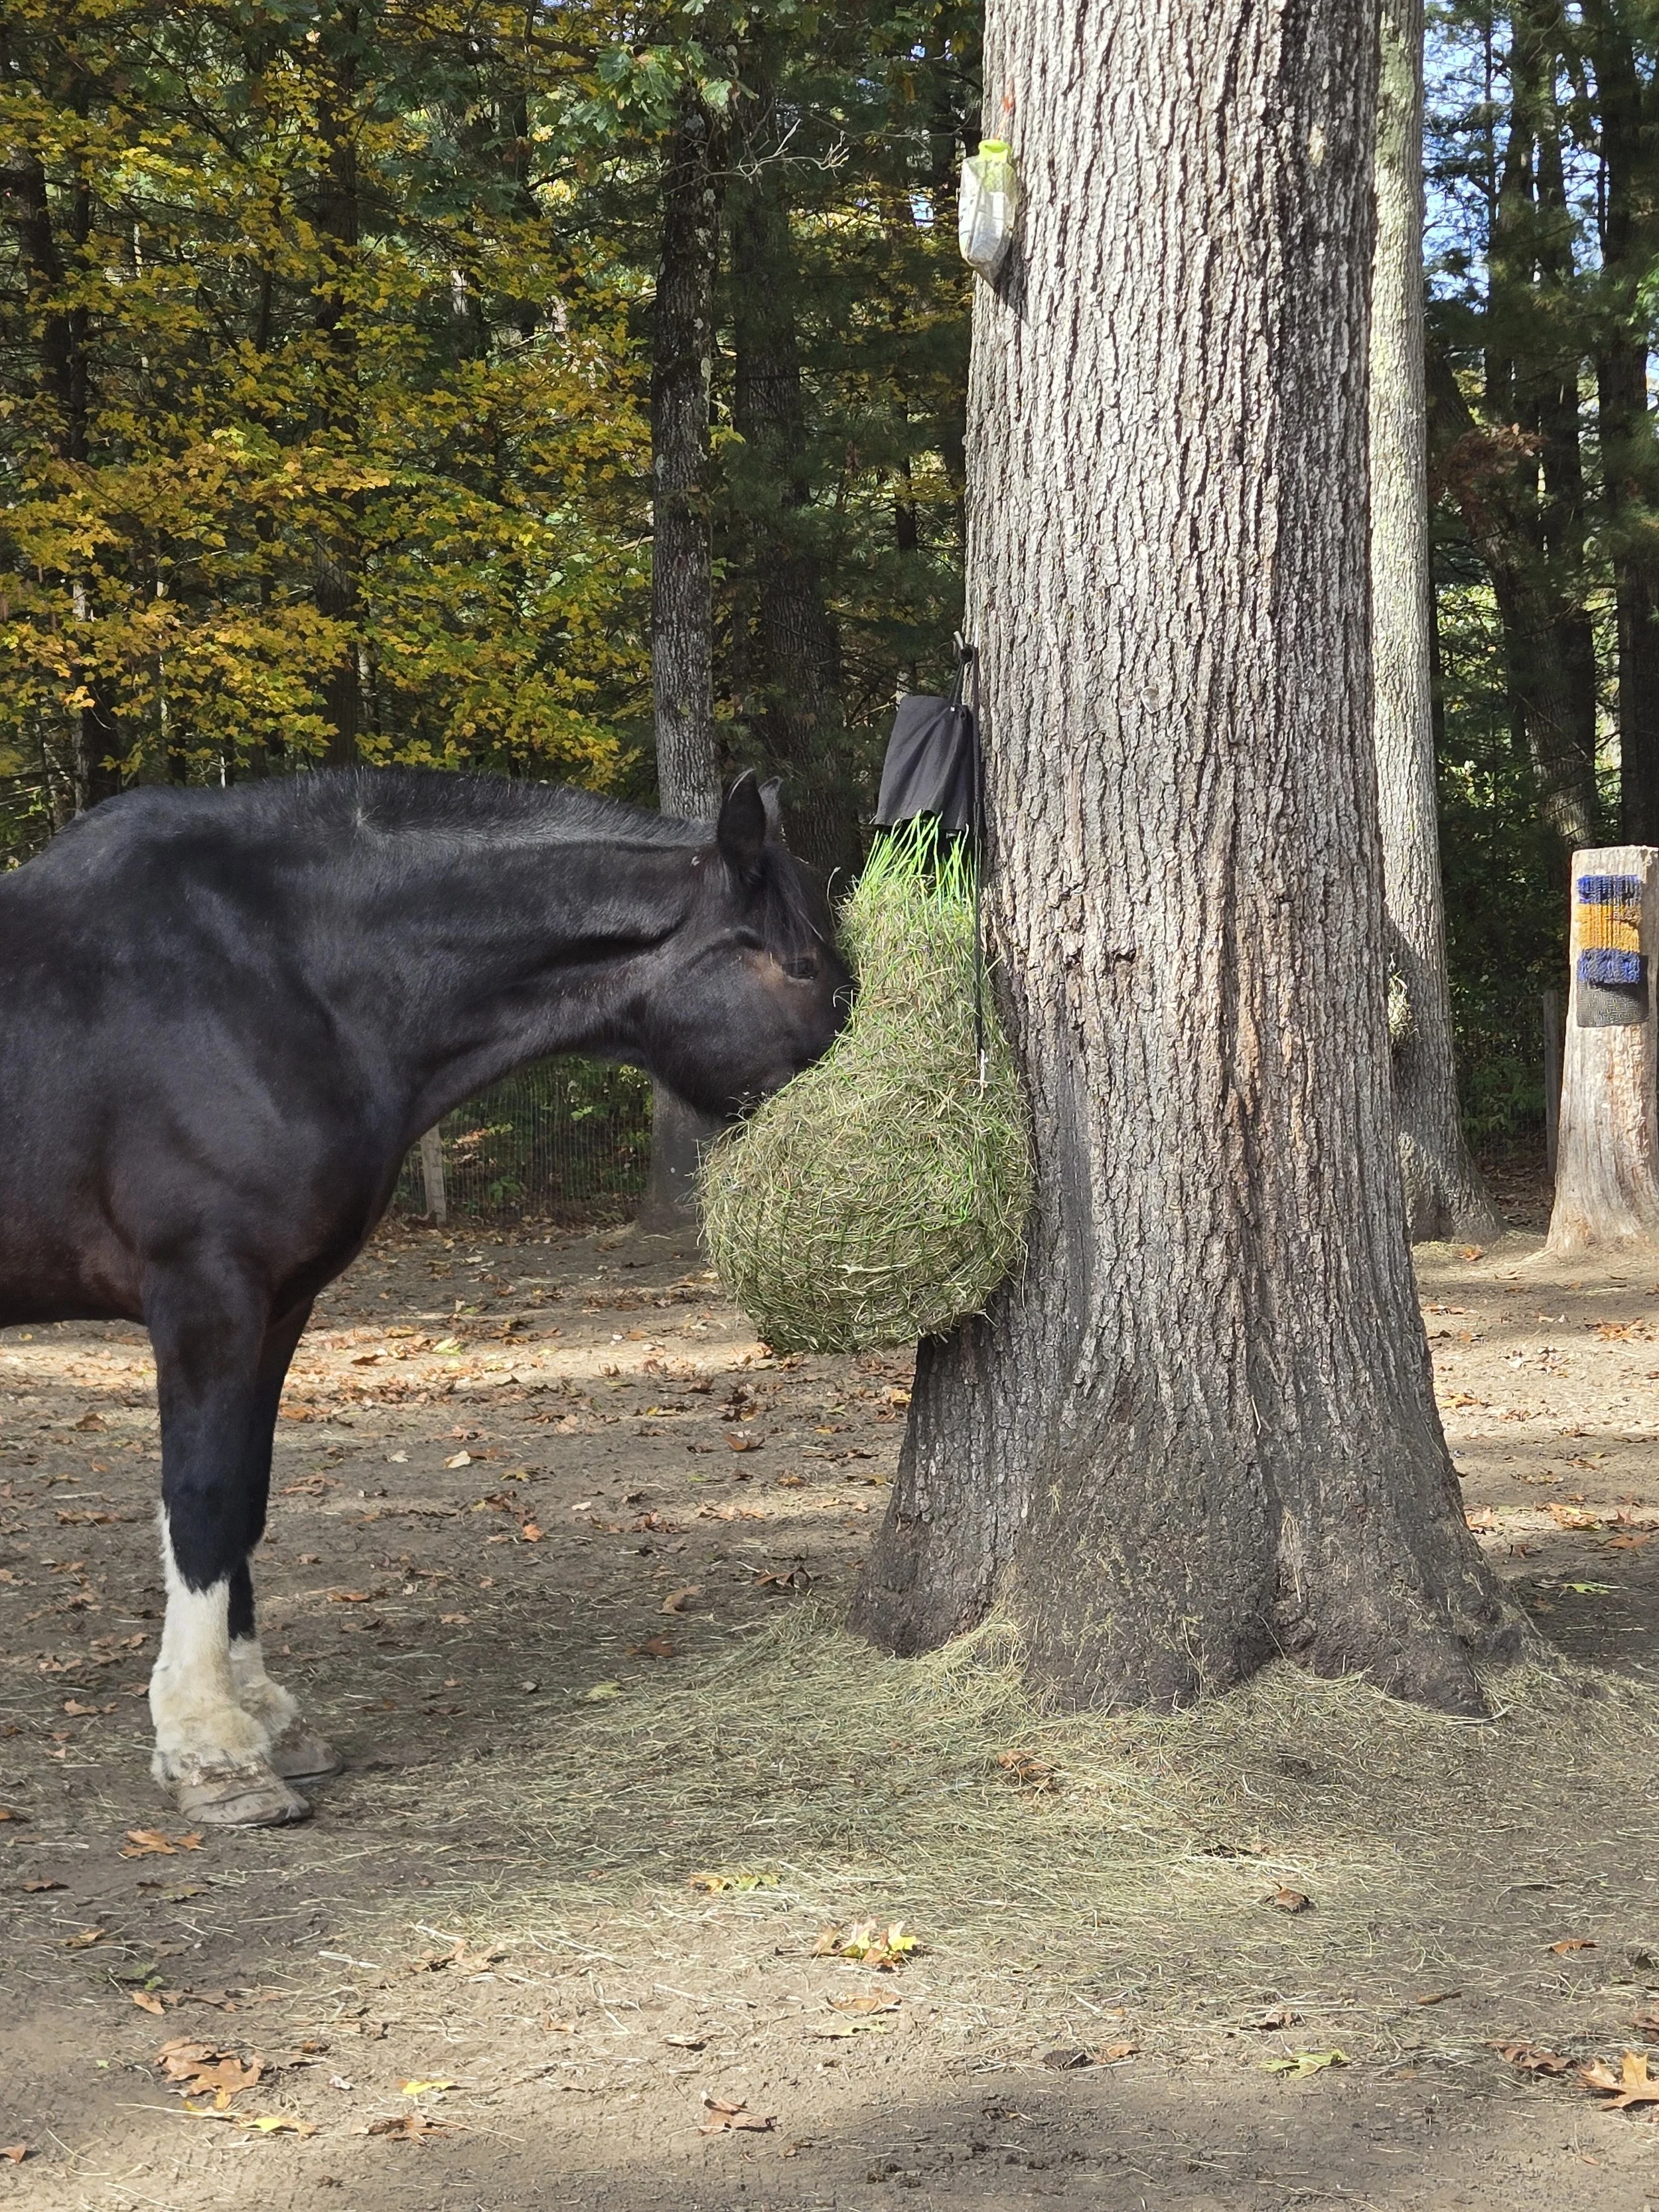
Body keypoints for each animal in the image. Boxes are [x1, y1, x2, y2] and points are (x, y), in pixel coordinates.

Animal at [0, 766, 849, 1826]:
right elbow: (201, 1499)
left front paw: (267, 1714)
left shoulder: (279, 1308)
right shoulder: (207, 1294)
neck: (273, 981)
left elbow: (246, 1499)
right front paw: (213, 1751)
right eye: (804, 965)